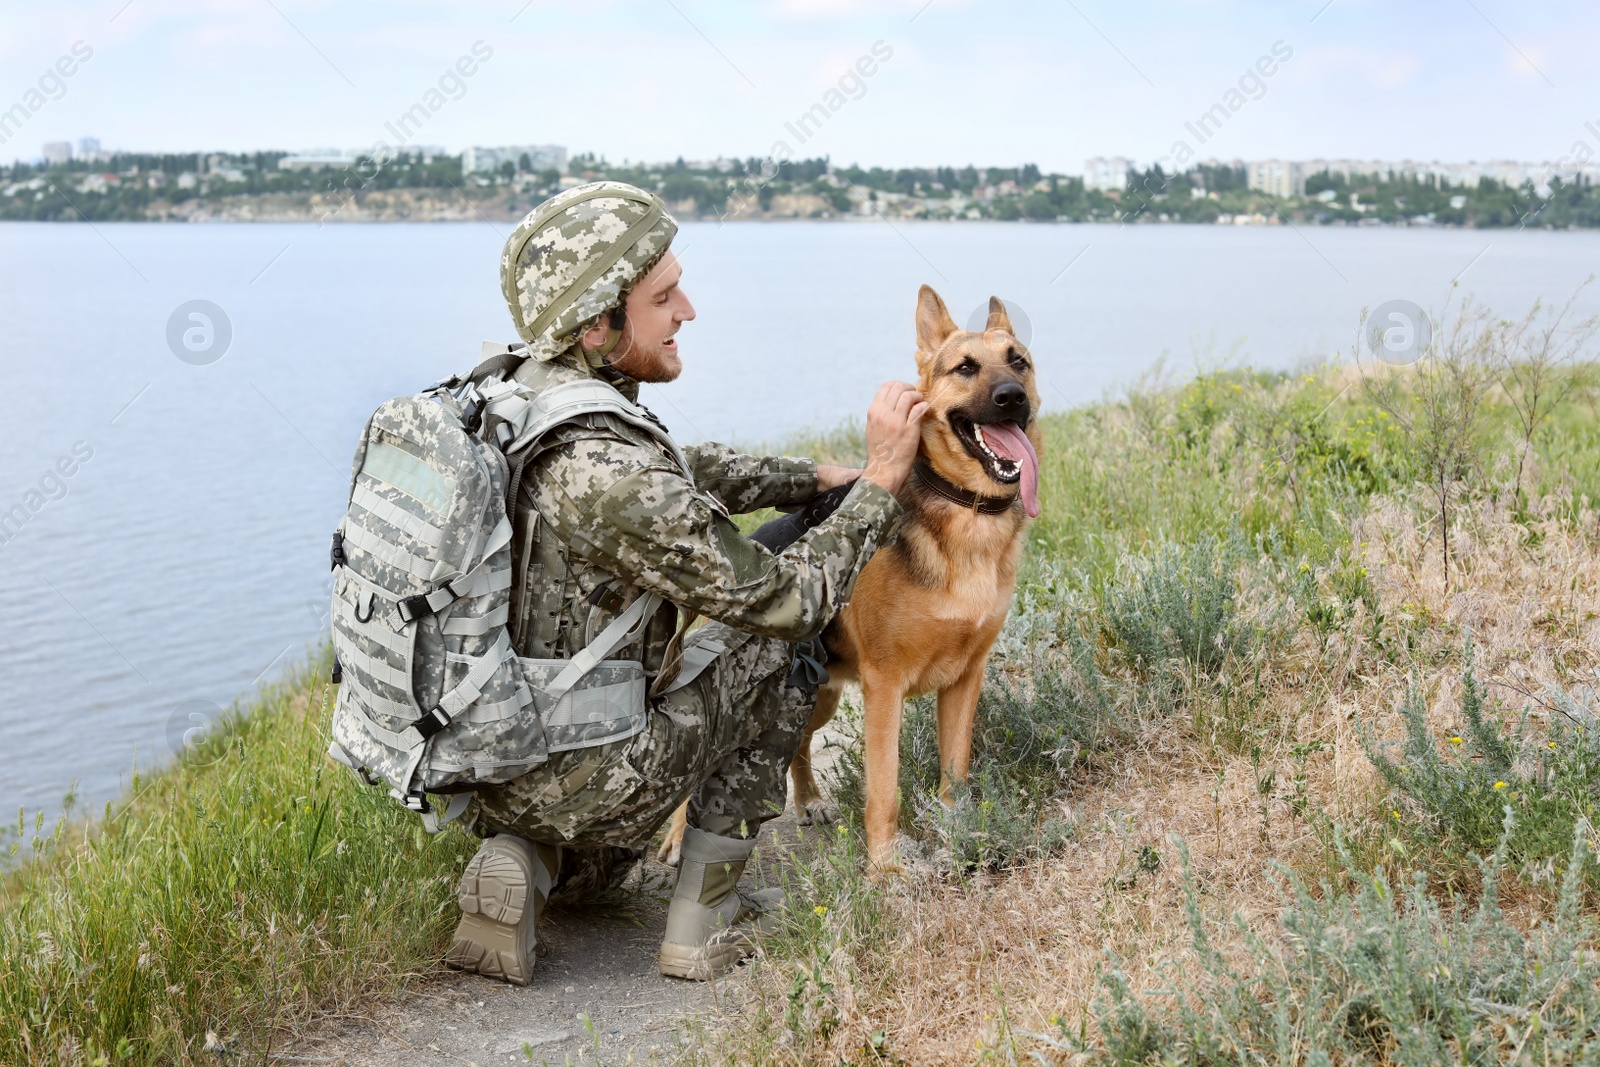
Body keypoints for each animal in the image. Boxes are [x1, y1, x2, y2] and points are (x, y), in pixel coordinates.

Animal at [659, 286, 1043, 876]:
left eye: (1018, 361)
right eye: (965, 368)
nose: (1012, 398)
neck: (966, 516)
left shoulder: (964, 681)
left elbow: (954, 777)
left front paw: (958, 835)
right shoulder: (885, 687)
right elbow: (884, 788)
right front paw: (885, 867)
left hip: (820, 697)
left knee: (796, 743)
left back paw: (809, 799)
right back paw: (678, 837)